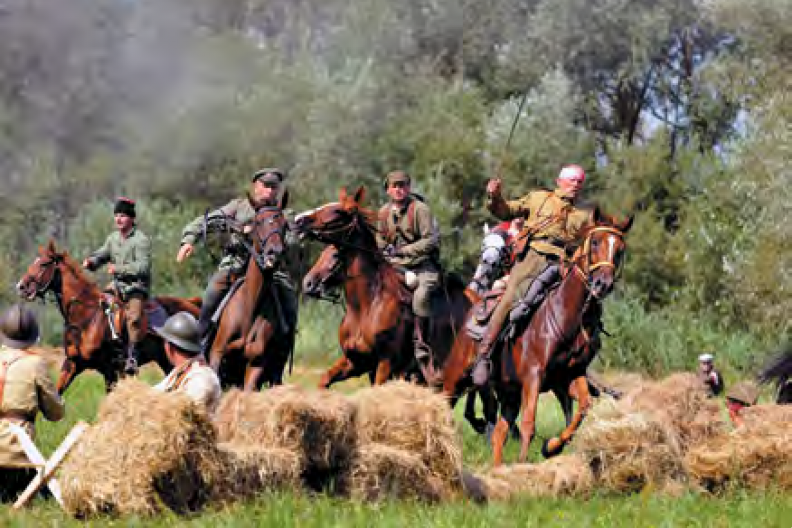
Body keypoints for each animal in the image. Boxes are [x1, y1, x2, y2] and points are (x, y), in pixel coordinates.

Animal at [16, 241, 201, 394]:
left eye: (44, 264)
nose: (21, 286)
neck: (86, 318)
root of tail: (192, 304)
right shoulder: (72, 364)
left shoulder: (110, 370)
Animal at [304, 241, 496, 436]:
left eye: (335, 255)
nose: (308, 283)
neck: (366, 307)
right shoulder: (358, 362)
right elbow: (325, 379)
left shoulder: (387, 363)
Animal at [440, 208, 632, 464]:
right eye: (595, 242)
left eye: (619, 248)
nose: (603, 283)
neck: (567, 314)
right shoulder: (533, 376)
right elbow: (529, 424)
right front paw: (526, 462)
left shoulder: (568, 376)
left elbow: (583, 407)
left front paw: (551, 447)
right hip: (456, 378)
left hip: (509, 391)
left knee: (499, 432)